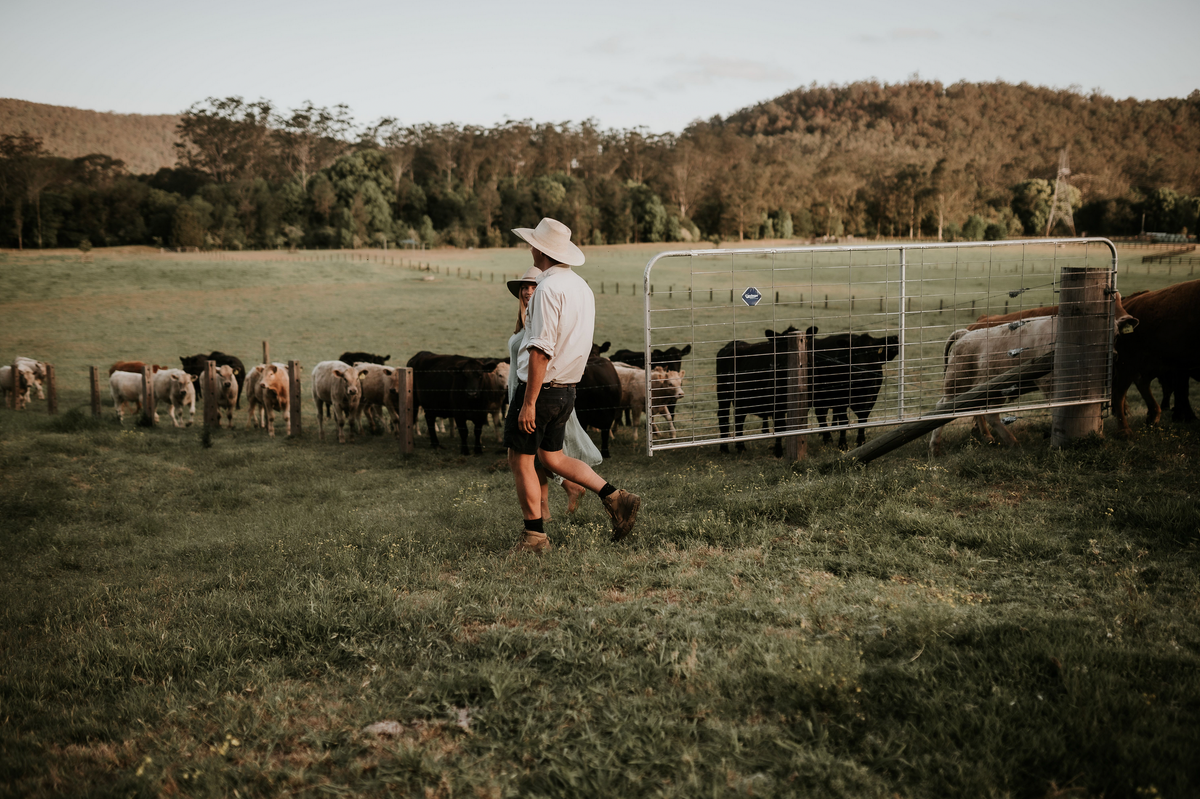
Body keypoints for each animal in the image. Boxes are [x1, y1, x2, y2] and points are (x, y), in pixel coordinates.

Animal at [710, 326, 806, 458]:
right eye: (778, 348)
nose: (782, 364)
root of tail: (732, 344)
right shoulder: (777, 405)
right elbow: (780, 427)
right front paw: (778, 452)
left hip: (741, 397)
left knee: (739, 419)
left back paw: (741, 447)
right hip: (723, 392)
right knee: (723, 416)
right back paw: (724, 448)